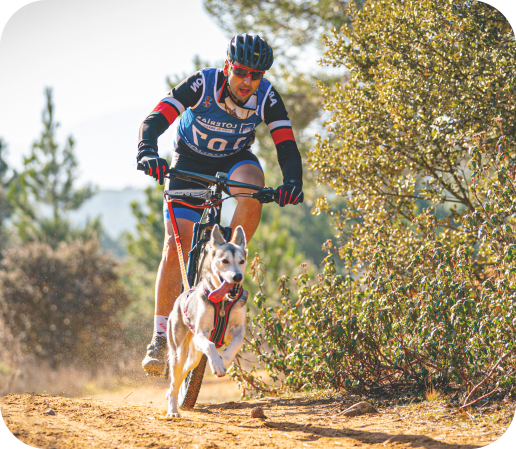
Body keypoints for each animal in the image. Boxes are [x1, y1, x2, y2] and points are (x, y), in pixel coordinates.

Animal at [165, 224, 246, 416]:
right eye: (225, 261)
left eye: (242, 261)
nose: (237, 276)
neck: (224, 302)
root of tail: (183, 295)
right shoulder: (201, 333)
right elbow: (209, 344)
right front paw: (217, 364)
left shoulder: (238, 328)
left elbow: (237, 342)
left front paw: (224, 360)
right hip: (179, 350)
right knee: (174, 381)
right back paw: (172, 410)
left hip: (194, 356)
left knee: (183, 373)